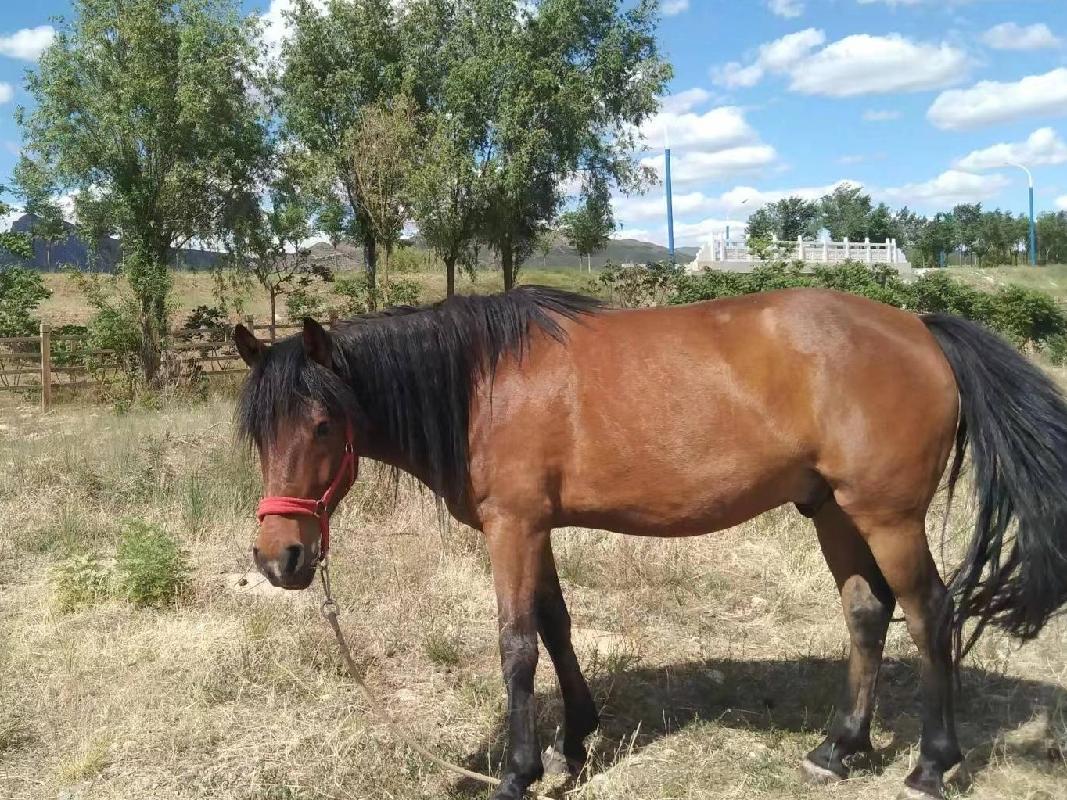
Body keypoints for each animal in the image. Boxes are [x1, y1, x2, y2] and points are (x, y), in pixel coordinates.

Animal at [233, 286, 1067, 800]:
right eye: (257, 433)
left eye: (323, 425)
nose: (281, 559)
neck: (478, 385)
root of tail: (919, 328)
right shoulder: (538, 527)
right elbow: (556, 626)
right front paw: (574, 742)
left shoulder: (514, 526)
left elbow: (515, 643)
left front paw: (518, 771)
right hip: (830, 508)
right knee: (866, 612)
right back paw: (839, 748)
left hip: (885, 515)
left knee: (930, 614)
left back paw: (930, 764)